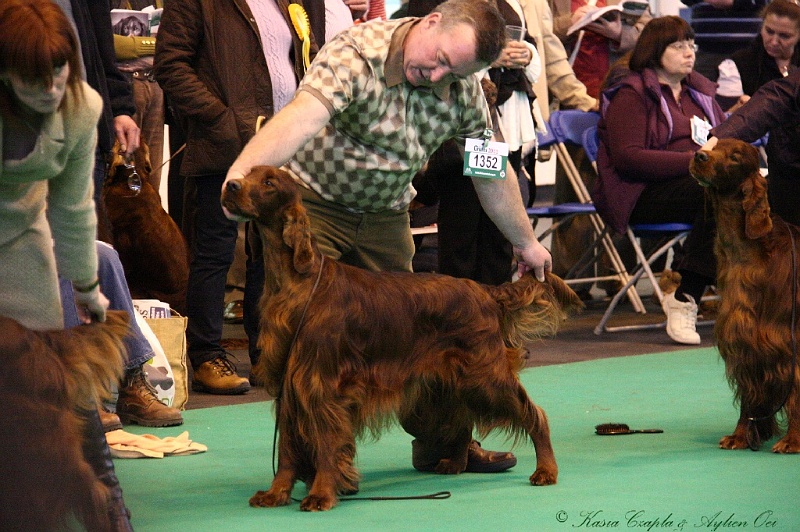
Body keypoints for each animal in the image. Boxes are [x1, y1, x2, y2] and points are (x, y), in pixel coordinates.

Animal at [219, 165, 580, 512]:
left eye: (268, 182)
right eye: (247, 174)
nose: (230, 186)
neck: (298, 282)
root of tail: (484, 290)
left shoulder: (319, 384)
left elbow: (325, 446)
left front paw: (321, 494)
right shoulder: (289, 385)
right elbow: (287, 450)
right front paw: (276, 493)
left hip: (485, 376)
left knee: (535, 415)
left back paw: (546, 470)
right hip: (447, 381)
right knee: (462, 418)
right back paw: (455, 463)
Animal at [692, 137, 796, 454]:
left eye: (736, 156)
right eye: (712, 144)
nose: (699, 156)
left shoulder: (786, 338)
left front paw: (793, 440)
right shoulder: (744, 338)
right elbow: (749, 394)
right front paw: (740, 435)